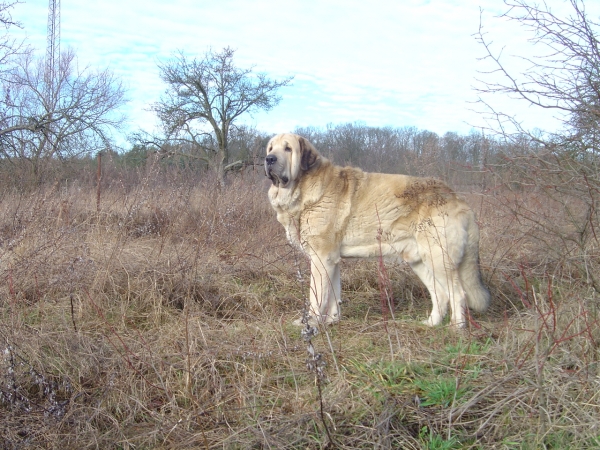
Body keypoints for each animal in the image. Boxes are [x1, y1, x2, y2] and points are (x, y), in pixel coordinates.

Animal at [264, 133, 490, 326]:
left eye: (288, 148)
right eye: (271, 148)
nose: (269, 159)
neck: (302, 188)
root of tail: (457, 198)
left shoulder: (322, 258)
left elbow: (317, 297)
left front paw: (310, 324)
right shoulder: (332, 261)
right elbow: (333, 296)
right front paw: (331, 322)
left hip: (439, 259)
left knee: (458, 294)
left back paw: (456, 329)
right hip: (420, 261)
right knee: (440, 294)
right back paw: (432, 324)